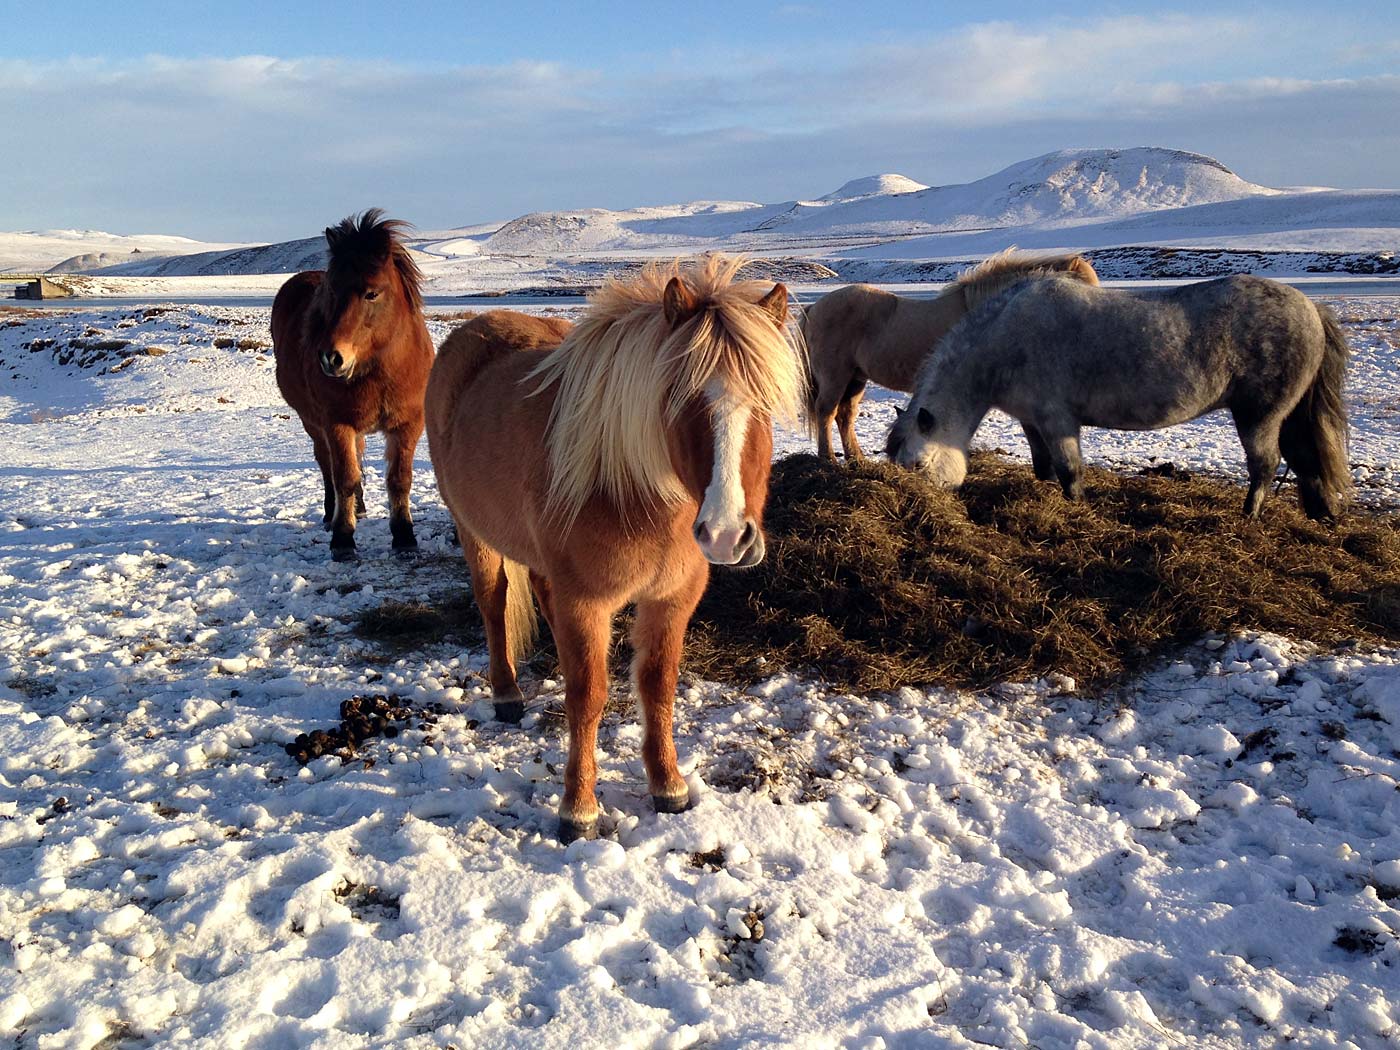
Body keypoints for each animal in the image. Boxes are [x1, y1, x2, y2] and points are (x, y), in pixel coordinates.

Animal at [268, 208, 431, 562]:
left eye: (372, 293)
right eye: (331, 291)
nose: (331, 358)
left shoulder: (408, 424)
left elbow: (399, 479)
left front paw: (404, 536)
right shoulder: (336, 423)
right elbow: (343, 475)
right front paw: (343, 538)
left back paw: (360, 507)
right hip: (313, 422)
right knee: (327, 463)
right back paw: (334, 513)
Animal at [422, 259, 800, 845]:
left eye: (764, 403)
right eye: (677, 397)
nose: (724, 534)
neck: (631, 487)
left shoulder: (674, 597)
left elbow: (657, 684)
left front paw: (668, 785)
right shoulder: (585, 603)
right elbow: (589, 696)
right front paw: (578, 809)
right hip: (474, 533)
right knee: (493, 602)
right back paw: (507, 693)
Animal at [800, 249, 1092, 476]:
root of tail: (813, 308)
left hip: (856, 377)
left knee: (845, 415)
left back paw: (856, 459)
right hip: (836, 376)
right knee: (826, 412)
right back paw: (828, 459)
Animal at [884, 275, 1355, 523]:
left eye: (918, 464)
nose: (922, 507)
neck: (1004, 339)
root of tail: (1311, 308)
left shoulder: (1058, 420)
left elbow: (1070, 472)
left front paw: (1078, 509)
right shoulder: (1033, 422)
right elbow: (1043, 470)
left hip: (1258, 415)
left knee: (1265, 466)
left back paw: (1249, 517)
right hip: (1286, 416)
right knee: (1303, 460)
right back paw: (1319, 515)